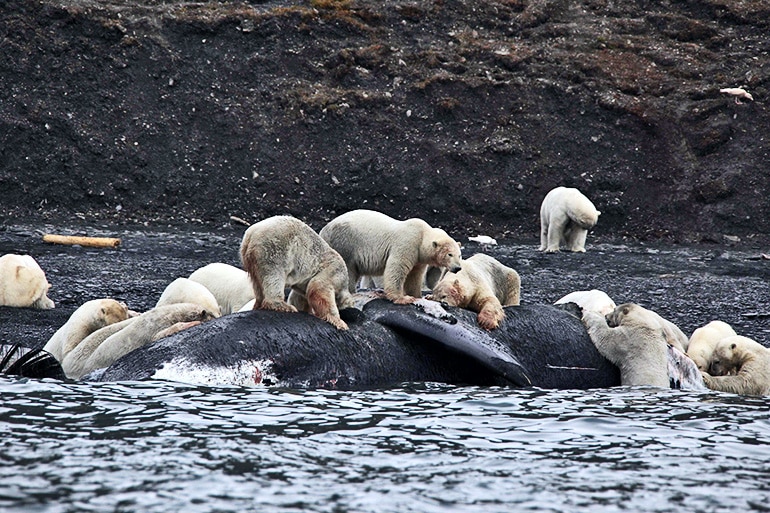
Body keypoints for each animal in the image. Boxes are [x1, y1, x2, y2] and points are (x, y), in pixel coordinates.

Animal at [320, 208, 462, 304]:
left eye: (459, 255)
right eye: (450, 254)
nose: (458, 268)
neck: (422, 235)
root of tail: (323, 230)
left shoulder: (419, 257)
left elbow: (414, 275)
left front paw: (417, 295)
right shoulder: (407, 243)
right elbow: (397, 268)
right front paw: (403, 298)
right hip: (345, 243)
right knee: (348, 268)